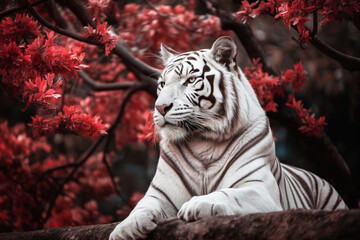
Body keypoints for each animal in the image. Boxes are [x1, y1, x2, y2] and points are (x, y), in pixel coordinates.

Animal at [109, 36, 346, 240]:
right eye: (162, 84)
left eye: (190, 80)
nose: (160, 107)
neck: (202, 141)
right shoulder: (160, 194)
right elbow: (140, 207)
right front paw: (124, 229)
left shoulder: (259, 189)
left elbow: (228, 194)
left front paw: (195, 204)